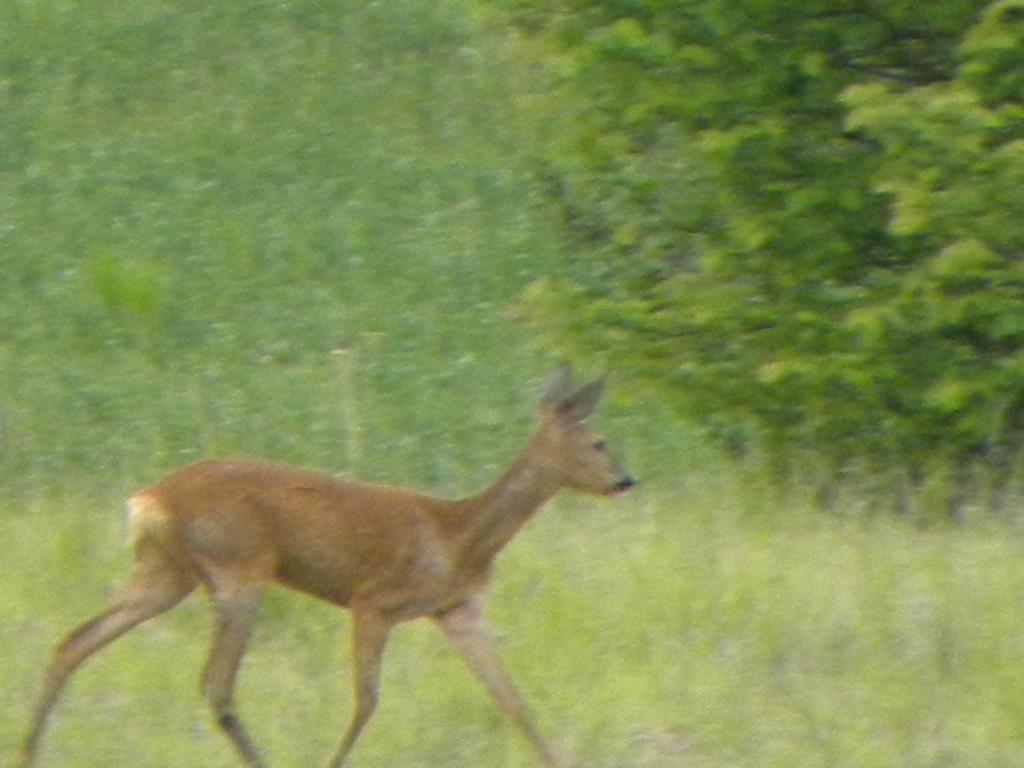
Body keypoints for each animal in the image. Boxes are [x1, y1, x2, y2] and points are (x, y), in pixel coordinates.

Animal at [19, 366, 634, 768]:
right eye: (600, 442)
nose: (627, 481)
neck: (458, 535)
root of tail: (149, 500)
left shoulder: (458, 611)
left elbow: (515, 702)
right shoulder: (373, 602)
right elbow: (366, 701)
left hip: (165, 574)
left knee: (72, 643)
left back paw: (27, 750)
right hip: (238, 567)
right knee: (216, 684)